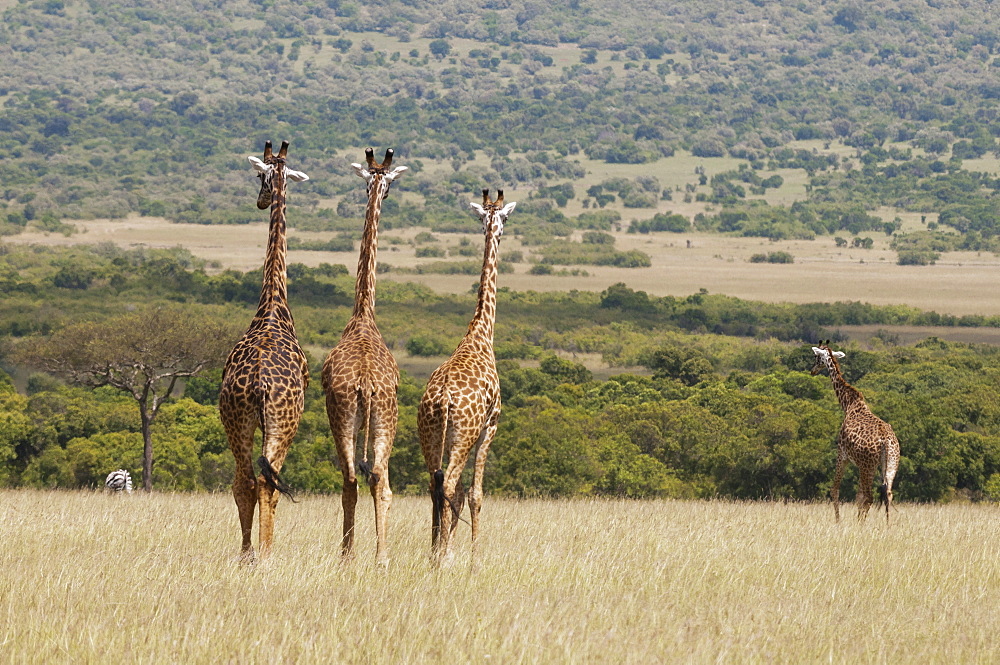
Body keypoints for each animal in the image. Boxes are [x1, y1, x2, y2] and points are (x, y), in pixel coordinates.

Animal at [418, 189, 520, 564]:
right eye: (504, 218)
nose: (500, 233)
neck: (480, 332)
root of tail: (442, 400)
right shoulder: (492, 424)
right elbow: (476, 494)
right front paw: (475, 558)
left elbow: (461, 493)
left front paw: (444, 548)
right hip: (463, 436)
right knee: (449, 484)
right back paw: (443, 555)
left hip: (429, 436)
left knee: (435, 485)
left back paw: (435, 553)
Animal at [812, 342, 900, 524]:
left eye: (816, 357)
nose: (812, 370)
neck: (849, 403)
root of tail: (886, 441)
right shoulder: (858, 463)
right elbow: (858, 497)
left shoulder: (842, 454)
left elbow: (835, 490)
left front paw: (838, 521)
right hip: (891, 464)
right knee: (887, 494)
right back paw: (887, 525)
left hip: (868, 466)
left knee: (870, 496)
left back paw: (861, 523)